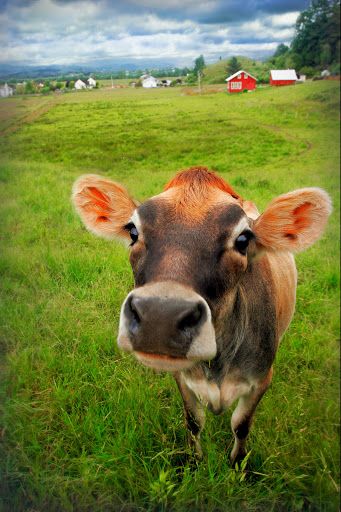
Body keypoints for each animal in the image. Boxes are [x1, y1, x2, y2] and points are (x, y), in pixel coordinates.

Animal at [71, 167, 330, 464]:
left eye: (243, 240)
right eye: (133, 231)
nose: (160, 316)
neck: (217, 365)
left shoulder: (262, 378)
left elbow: (241, 425)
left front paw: (237, 463)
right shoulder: (182, 377)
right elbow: (193, 421)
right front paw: (195, 460)